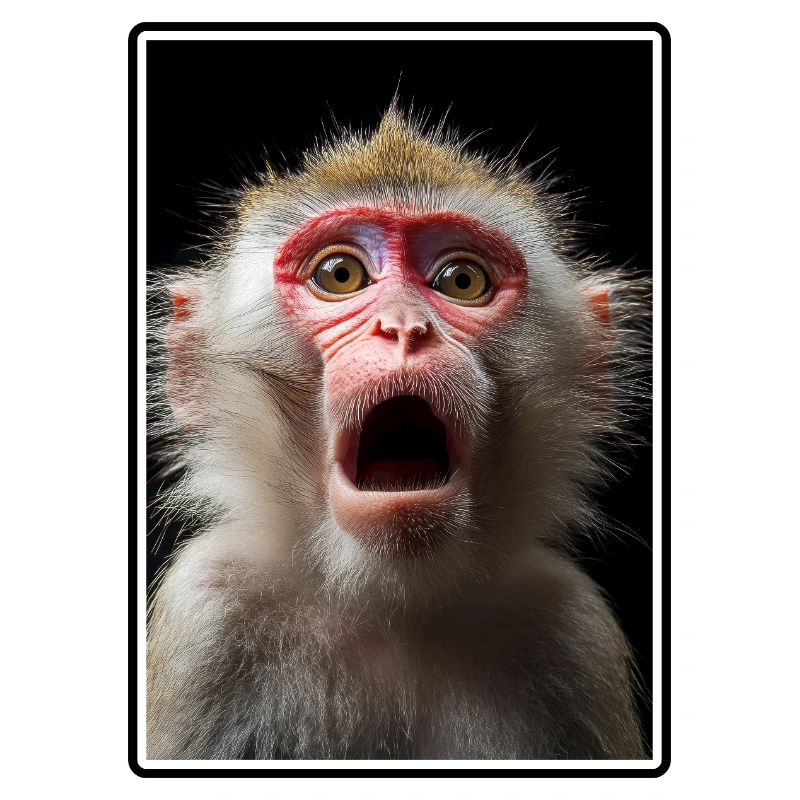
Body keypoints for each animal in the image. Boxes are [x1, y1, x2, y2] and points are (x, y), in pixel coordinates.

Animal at [146, 105, 651, 761]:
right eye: (340, 274)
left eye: (461, 280)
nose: (405, 327)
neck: (393, 603)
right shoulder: (207, 612)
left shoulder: (572, 630)